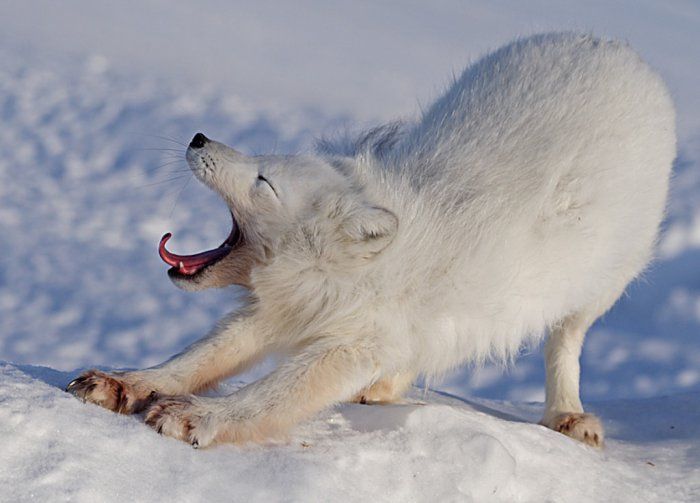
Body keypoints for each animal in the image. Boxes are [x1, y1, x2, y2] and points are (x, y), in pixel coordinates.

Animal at [69, 32, 672, 448]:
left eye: (264, 181)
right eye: (262, 159)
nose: (197, 137)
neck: (342, 271)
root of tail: (613, 46)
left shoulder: (352, 342)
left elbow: (276, 393)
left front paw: (201, 416)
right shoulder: (282, 312)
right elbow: (199, 357)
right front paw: (127, 382)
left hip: (597, 287)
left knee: (565, 343)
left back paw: (567, 414)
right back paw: (384, 389)